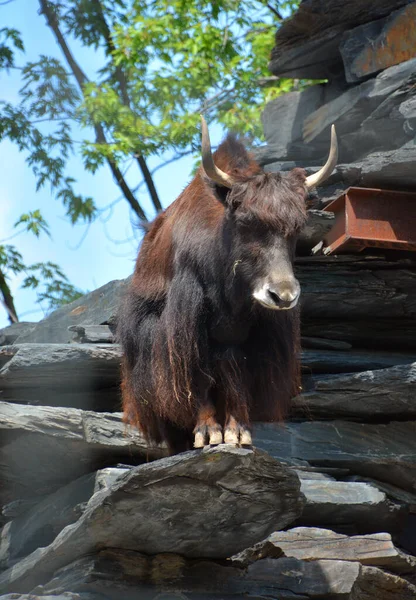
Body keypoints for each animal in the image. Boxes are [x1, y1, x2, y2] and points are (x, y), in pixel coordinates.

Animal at [117, 118, 338, 454]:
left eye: (297, 226)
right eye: (245, 221)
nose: (283, 295)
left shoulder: (245, 341)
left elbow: (236, 379)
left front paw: (237, 432)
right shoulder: (188, 328)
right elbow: (197, 377)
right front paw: (208, 433)